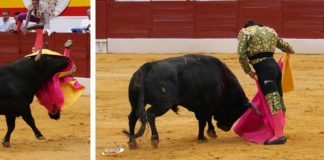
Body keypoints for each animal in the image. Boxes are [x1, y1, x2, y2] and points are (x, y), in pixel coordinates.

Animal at [124, 54, 258, 149]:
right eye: (236, 111)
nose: (224, 127)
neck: (222, 80)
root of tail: (146, 67)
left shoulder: (204, 106)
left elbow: (206, 119)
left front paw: (211, 132)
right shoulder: (207, 104)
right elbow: (203, 120)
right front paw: (202, 137)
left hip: (135, 102)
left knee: (132, 117)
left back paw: (132, 142)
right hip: (163, 103)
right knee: (150, 114)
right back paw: (155, 139)